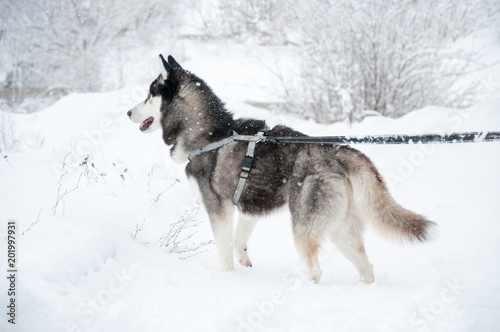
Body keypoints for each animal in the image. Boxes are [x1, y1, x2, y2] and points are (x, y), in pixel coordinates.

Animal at [127, 54, 436, 282]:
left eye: (149, 94)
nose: (128, 112)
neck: (210, 134)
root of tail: (339, 151)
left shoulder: (219, 209)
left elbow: (224, 254)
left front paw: (227, 280)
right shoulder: (248, 208)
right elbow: (239, 243)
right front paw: (246, 266)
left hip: (304, 226)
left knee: (315, 269)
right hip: (338, 228)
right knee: (366, 267)